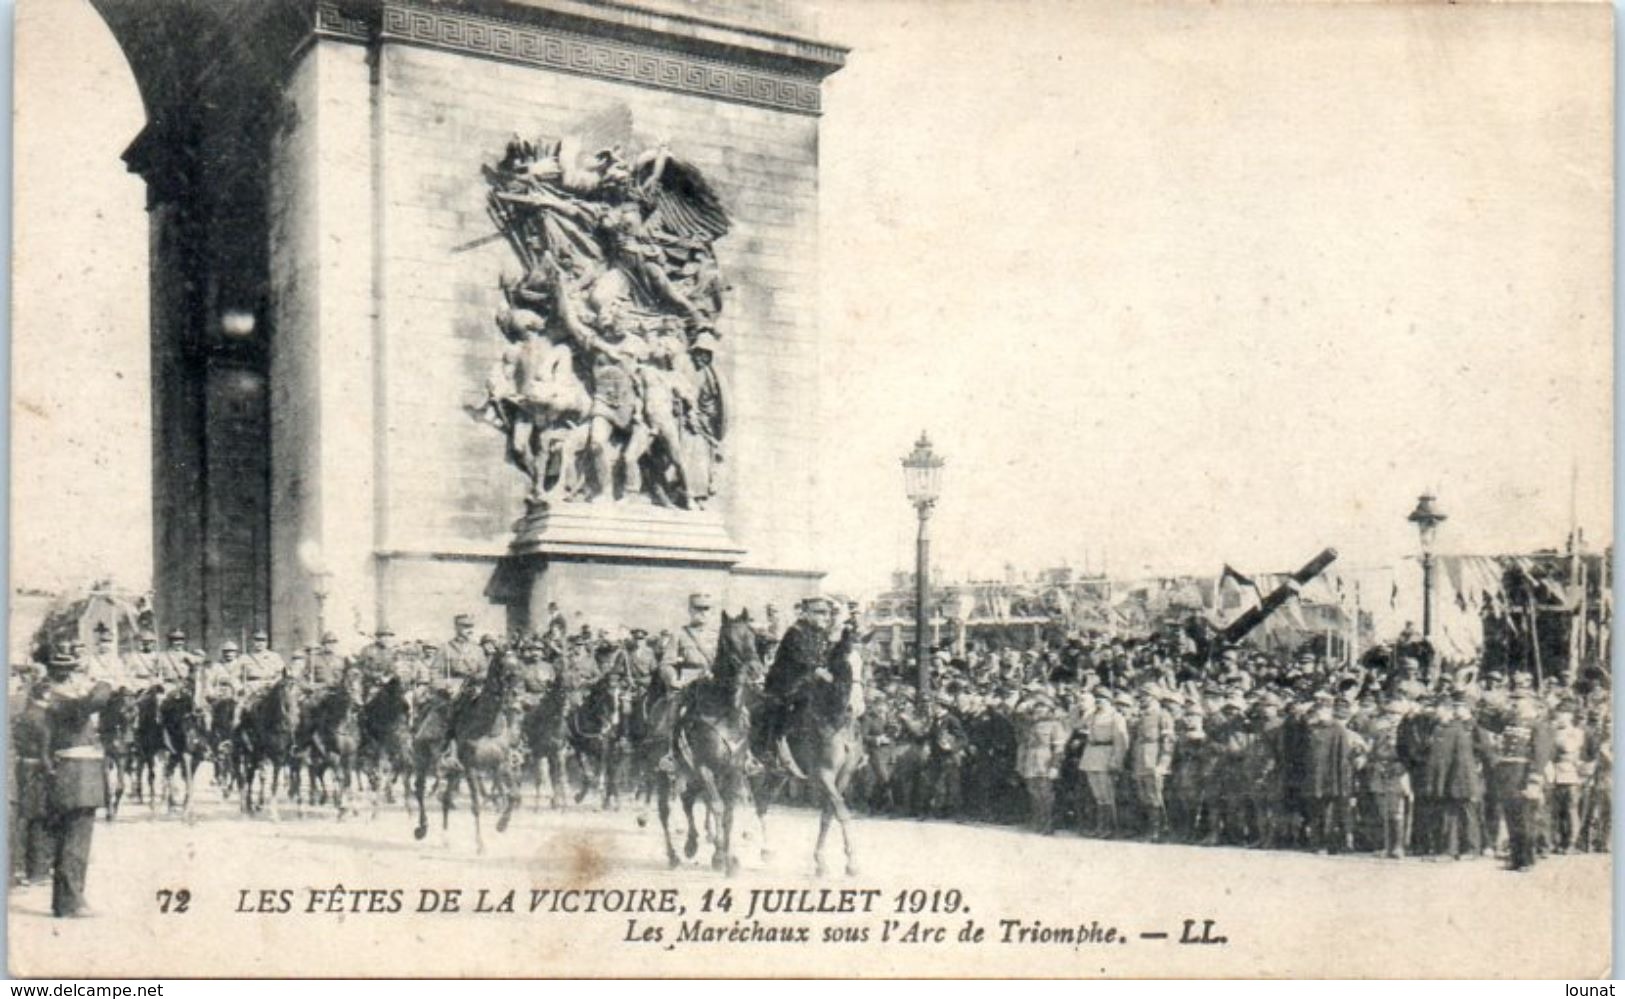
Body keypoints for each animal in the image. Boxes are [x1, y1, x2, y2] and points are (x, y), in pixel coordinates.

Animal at [238, 675, 305, 815]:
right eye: (283, 688)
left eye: (299, 691)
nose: (294, 717)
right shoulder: (276, 758)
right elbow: (273, 782)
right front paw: (273, 812)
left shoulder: (295, 758)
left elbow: (297, 780)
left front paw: (300, 809)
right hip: (252, 755)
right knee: (249, 776)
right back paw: (249, 805)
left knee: (251, 776)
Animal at [656, 614, 763, 877]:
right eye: (728, 640)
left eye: (753, 636)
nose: (756, 672)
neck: (724, 714)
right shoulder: (704, 768)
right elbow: (717, 807)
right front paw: (722, 857)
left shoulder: (733, 771)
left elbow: (729, 814)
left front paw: (727, 859)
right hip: (665, 775)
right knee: (665, 812)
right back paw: (673, 855)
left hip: (691, 776)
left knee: (687, 801)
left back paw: (692, 844)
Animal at [747, 614, 871, 877]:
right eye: (845, 665)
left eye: (864, 662)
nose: (856, 707)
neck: (836, 721)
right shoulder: (823, 773)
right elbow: (841, 812)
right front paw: (852, 862)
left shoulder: (843, 775)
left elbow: (828, 814)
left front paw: (821, 860)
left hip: (777, 774)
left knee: (761, 804)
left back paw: (766, 849)